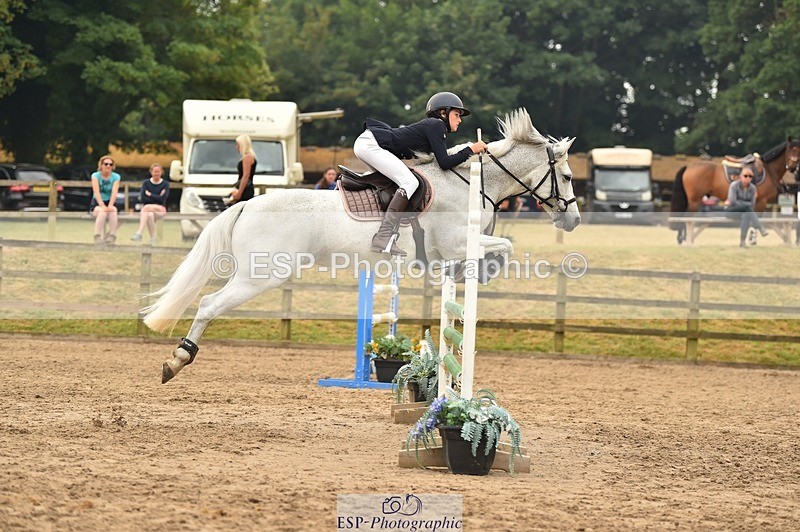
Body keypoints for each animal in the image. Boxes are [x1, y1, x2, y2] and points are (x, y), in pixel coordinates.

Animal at [142, 109, 581, 383]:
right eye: (567, 176)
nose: (573, 220)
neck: (469, 184)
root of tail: (246, 203)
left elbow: (498, 247)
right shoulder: (456, 243)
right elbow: (504, 245)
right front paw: (485, 271)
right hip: (261, 275)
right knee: (208, 305)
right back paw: (177, 360)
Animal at [670, 138, 800, 243]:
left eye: (798, 151)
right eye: (789, 150)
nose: (792, 167)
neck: (768, 171)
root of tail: (689, 167)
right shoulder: (761, 202)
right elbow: (755, 220)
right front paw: (752, 239)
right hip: (695, 200)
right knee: (686, 217)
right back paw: (684, 238)